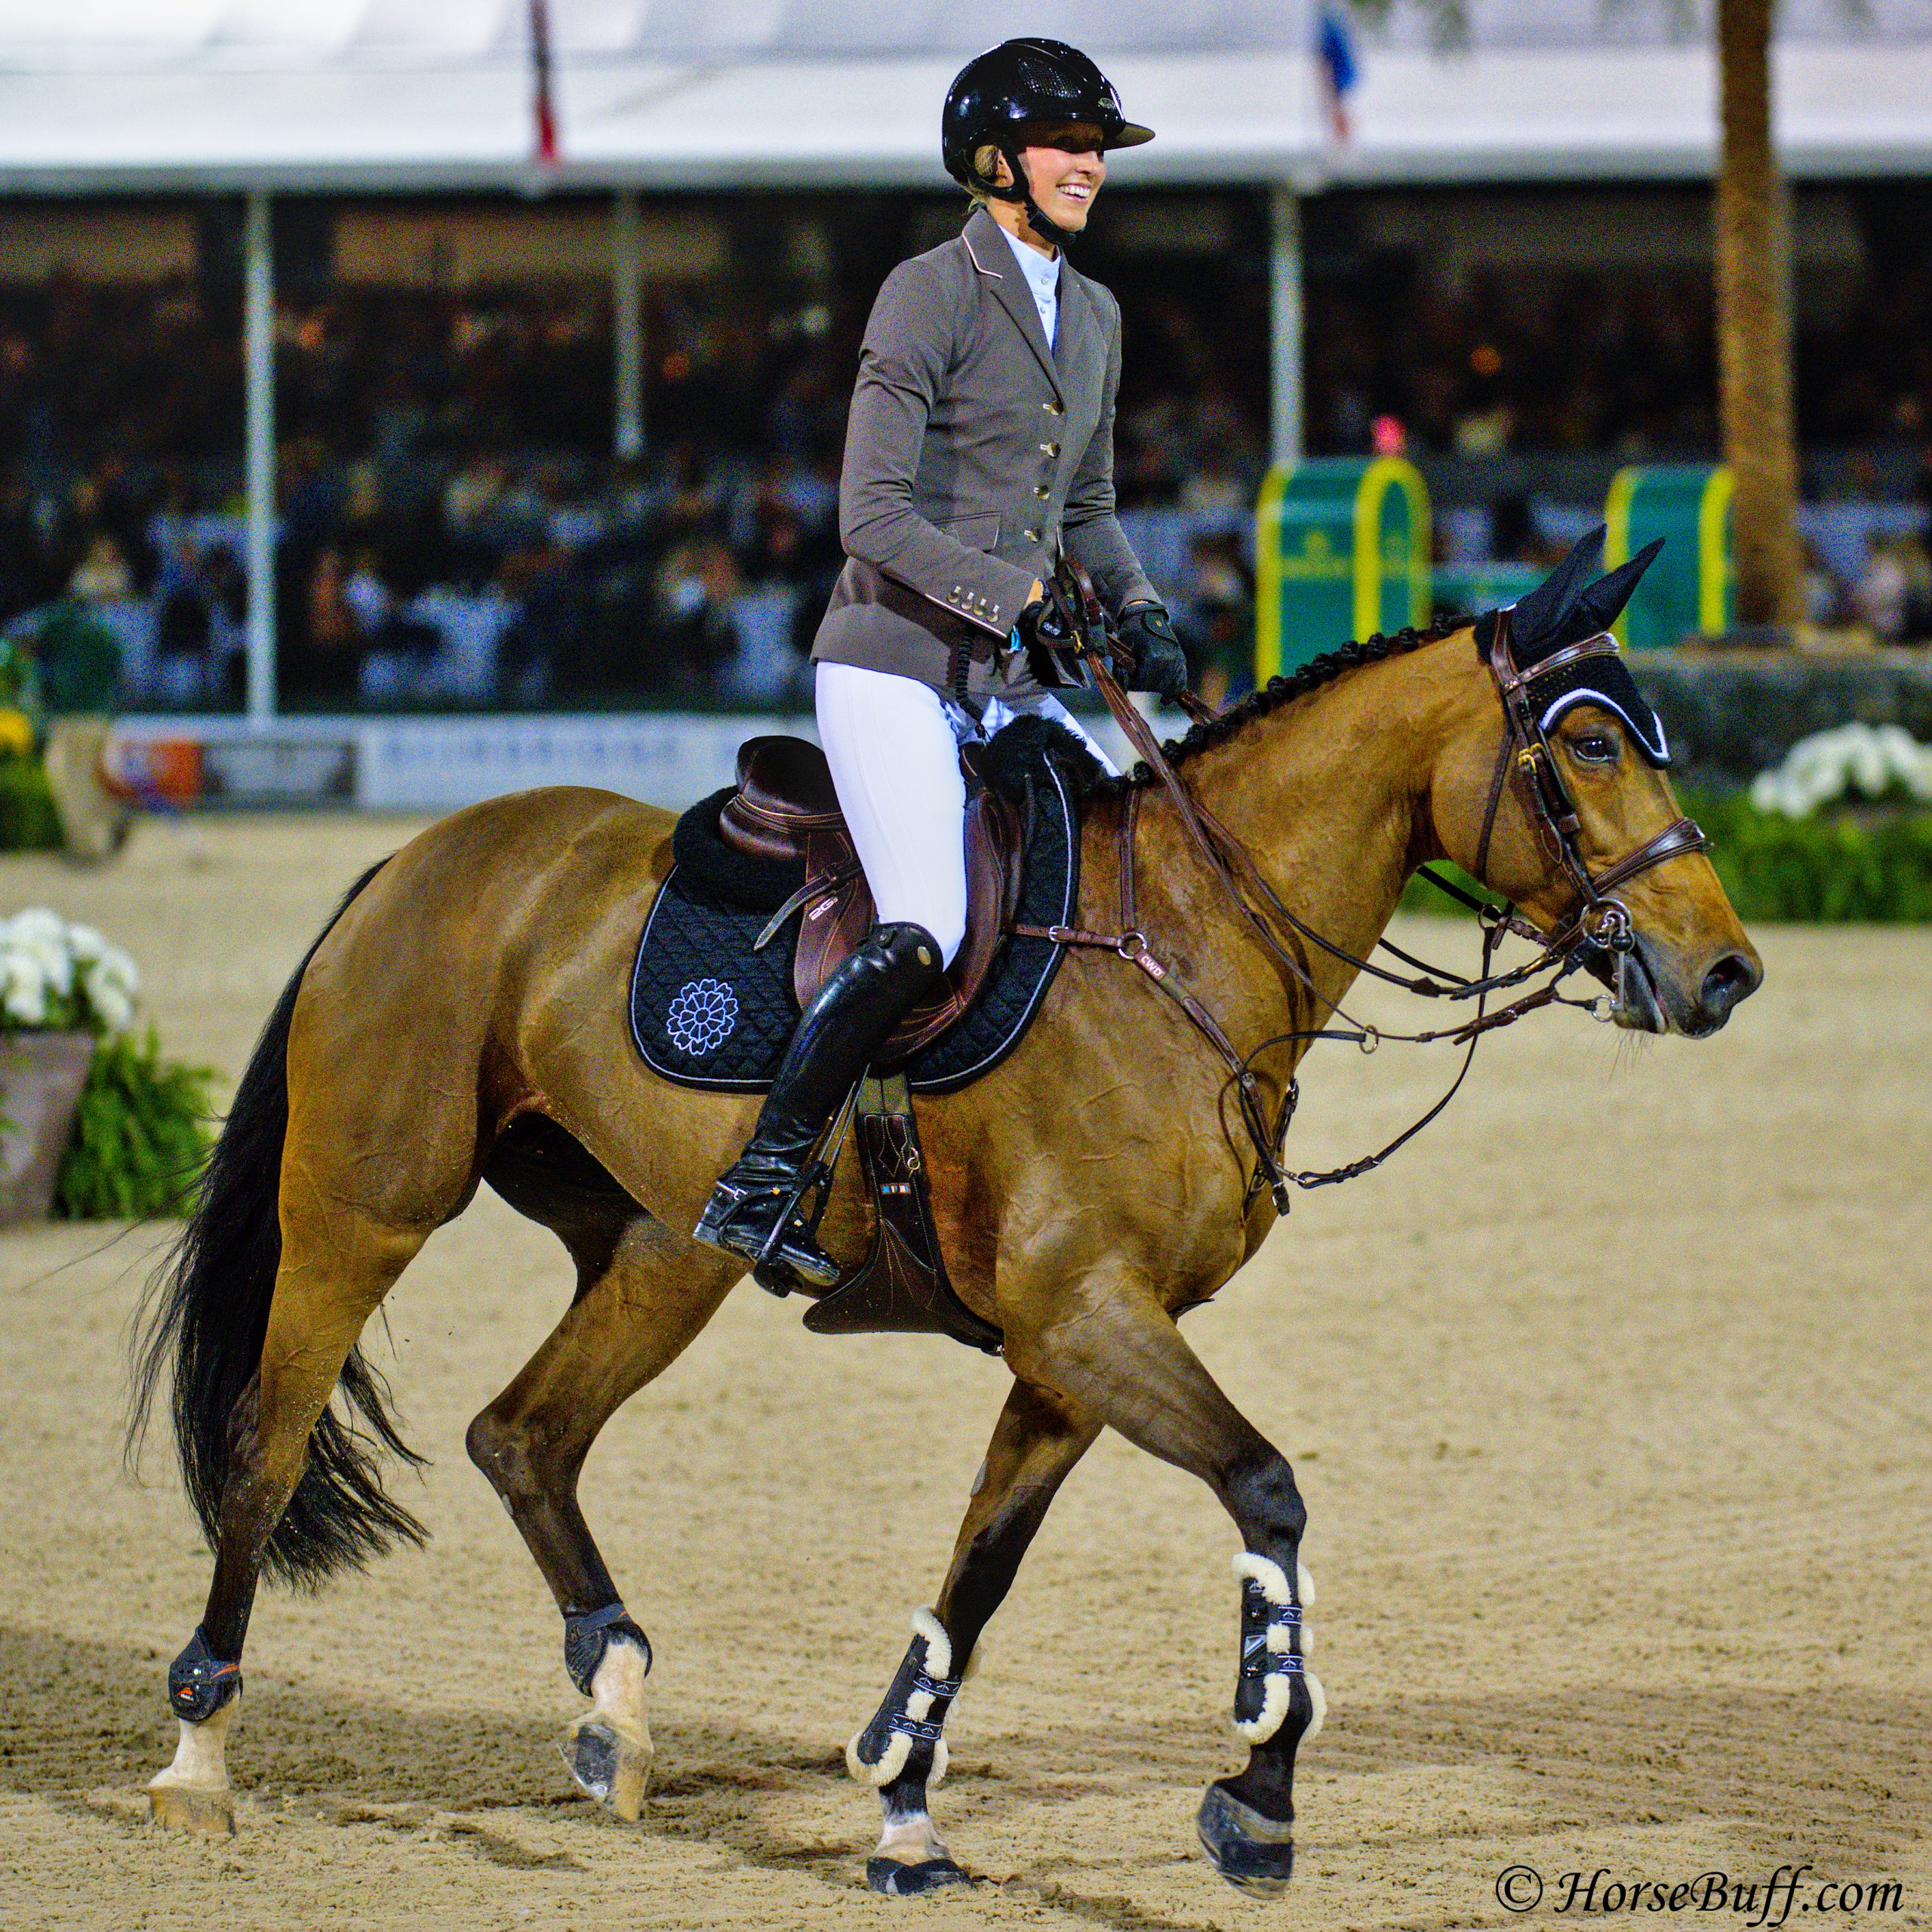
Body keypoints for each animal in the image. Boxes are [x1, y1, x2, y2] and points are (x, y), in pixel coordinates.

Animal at [132, 540, 1769, 1901]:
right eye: (1589, 742)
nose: (1725, 972)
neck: (1185, 947)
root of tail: (416, 855)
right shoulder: (1085, 1312)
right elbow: (1267, 1495)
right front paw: (1256, 1800)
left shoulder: (1067, 1353)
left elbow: (978, 1577)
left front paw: (904, 1805)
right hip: (363, 1207)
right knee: (267, 1443)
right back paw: (200, 1753)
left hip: (658, 1251)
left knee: (522, 1433)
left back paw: (616, 1710)